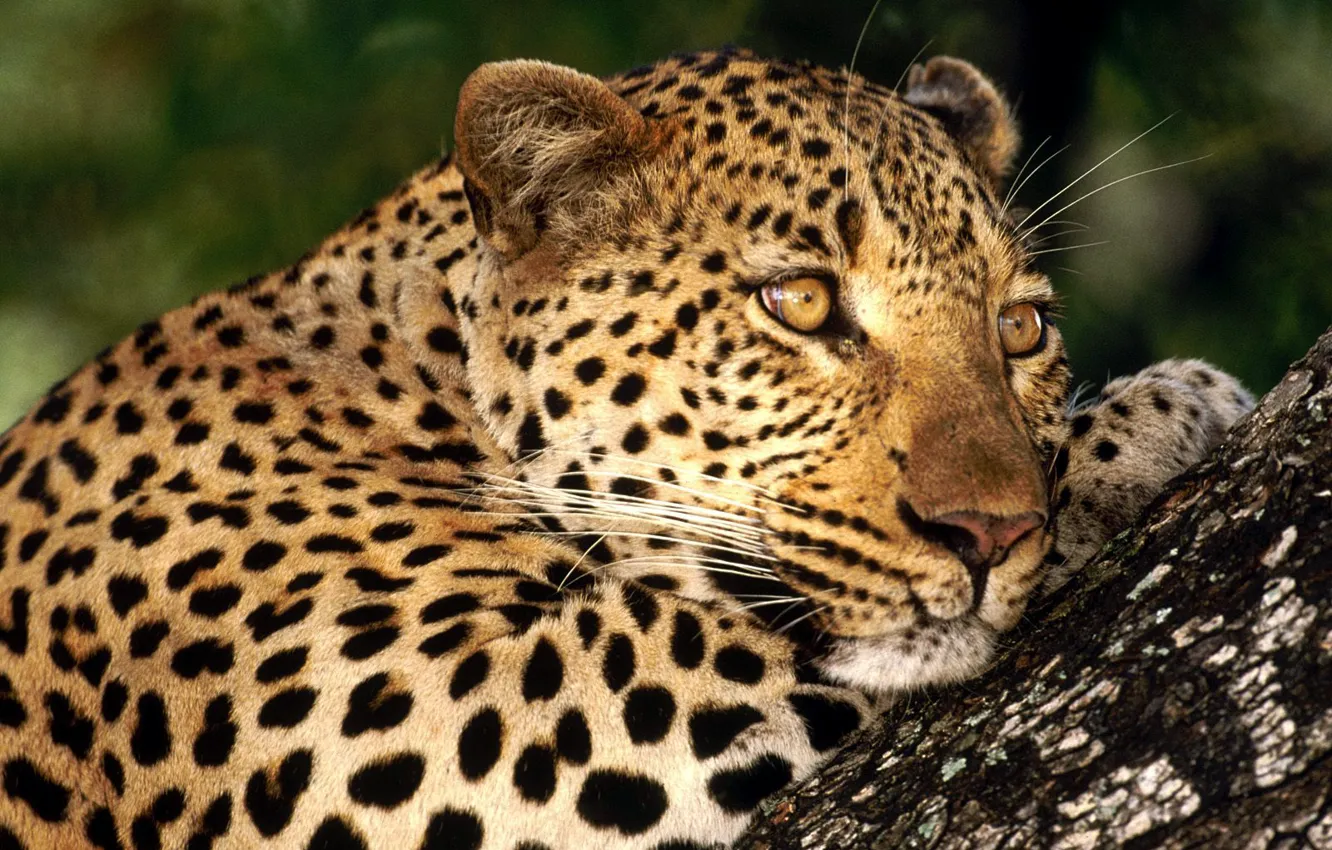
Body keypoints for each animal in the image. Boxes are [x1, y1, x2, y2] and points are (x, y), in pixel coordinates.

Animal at [0, 47, 1253, 850]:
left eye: (1021, 327)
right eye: (801, 302)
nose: (991, 533)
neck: (409, 367)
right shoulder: (425, 722)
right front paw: (1162, 412)